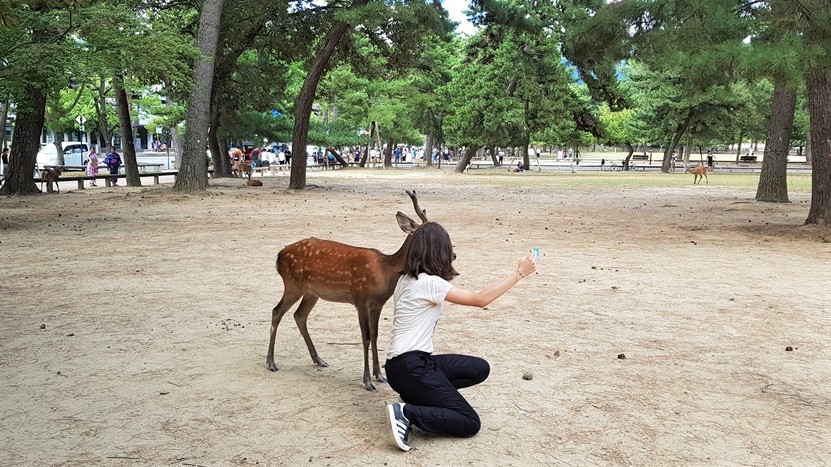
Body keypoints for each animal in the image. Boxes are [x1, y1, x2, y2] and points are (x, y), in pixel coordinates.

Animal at [266, 190, 429, 391]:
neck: (385, 271)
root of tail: (279, 256)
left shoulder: (377, 304)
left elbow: (375, 336)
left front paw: (379, 376)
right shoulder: (360, 299)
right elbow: (365, 338)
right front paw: (367, 381)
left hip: (311, 293)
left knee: (299, 315)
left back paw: (319, 360)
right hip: (292, 284)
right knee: (277, 311)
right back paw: (271, 363)